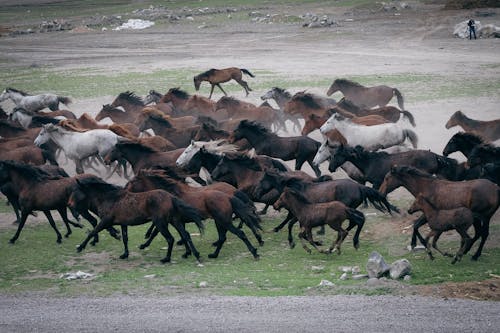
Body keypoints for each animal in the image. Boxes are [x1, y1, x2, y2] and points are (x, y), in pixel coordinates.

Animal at [69, 175, 204, 264]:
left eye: (76, 191)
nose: (70, 204)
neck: (110, 198)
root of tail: (171, 197)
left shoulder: (105, 221)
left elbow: (93, 232)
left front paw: (80, 247)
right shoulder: (123, 224)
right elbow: (125, 238)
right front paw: (125, 254)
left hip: (161, 223)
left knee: (171, 239)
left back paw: (166, 259)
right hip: (174, 221)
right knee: (185, 235)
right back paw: (196, 255)